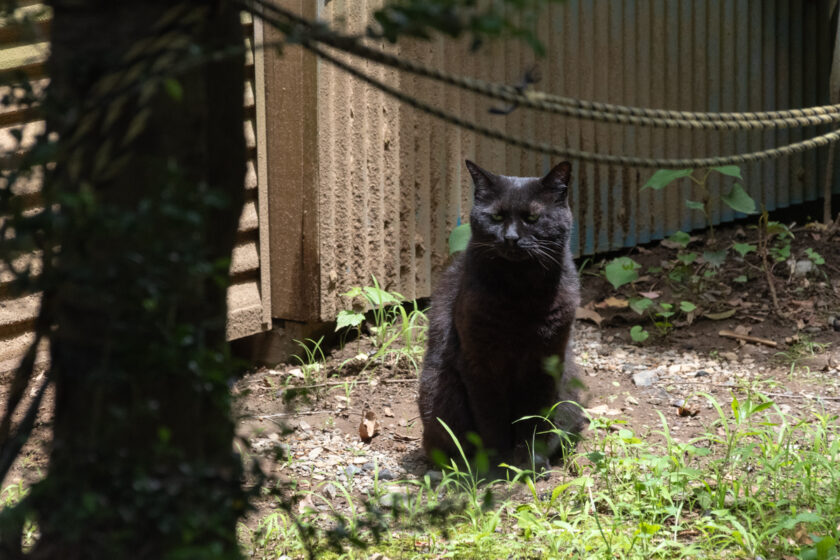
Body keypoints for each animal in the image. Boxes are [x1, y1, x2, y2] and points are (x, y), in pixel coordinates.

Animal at [418, 160, 584, 466]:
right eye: (495, 216)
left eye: (532, 217)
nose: (511, 238)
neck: (520, 293)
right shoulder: (480, 362)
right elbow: (491, 418)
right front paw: (497, 463)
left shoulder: (546, 361)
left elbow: (535, 418)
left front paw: (532, 462)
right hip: (438, 392)